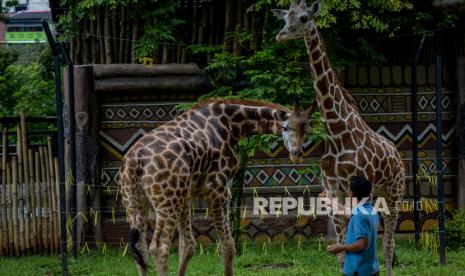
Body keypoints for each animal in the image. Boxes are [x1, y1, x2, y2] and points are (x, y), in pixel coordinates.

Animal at [118, 98, 318, 274]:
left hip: (136, 203)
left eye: (307, 130)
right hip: (166, 203)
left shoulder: (187, 194)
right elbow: (228, 244)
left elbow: (188, 245)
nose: (296, 154)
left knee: (140, 249)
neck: (231, 126)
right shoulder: (218, 188)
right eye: (286, 127)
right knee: (159, 248)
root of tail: (135, 160)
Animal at [272, 1, 406, 274]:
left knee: (388, 246)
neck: (337, 132)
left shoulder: (362, 185)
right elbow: (343, 253)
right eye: (284, 17)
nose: (281, 35)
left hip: (395, 191)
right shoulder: (333, 189)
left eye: (304, 18)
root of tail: (398, 156)